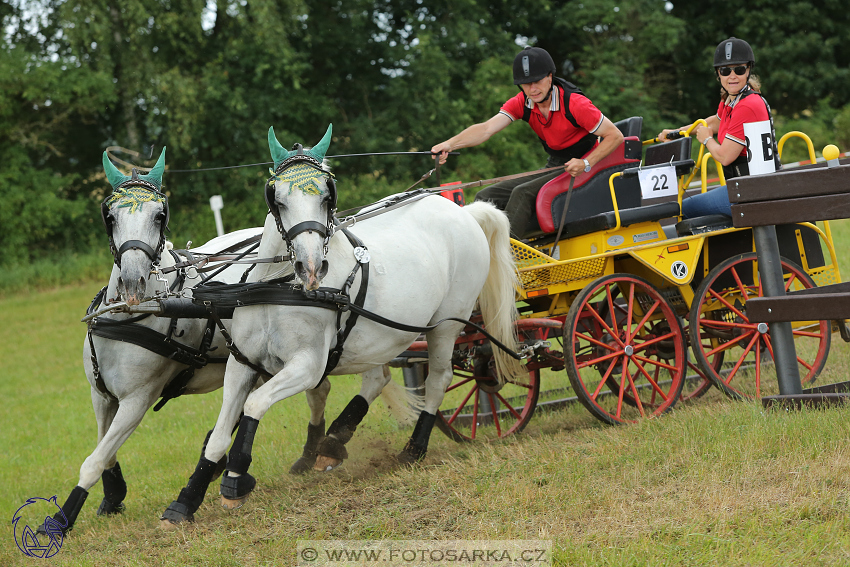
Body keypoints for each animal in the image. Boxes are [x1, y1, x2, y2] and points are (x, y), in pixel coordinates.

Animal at [157, 124, 516, 524]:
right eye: (276, 197)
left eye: (328, 196)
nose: (312, 267)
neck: (278, 286)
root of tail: (463, 211)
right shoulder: (241, 363)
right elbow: (220, 433)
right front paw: (186, 501)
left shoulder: (307, 366)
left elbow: (255, 404)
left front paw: (236, 479)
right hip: (382, 334)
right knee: (378, 376)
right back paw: (334, 441)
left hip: (444, 326)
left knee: (438, 381)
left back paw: (414, 448)